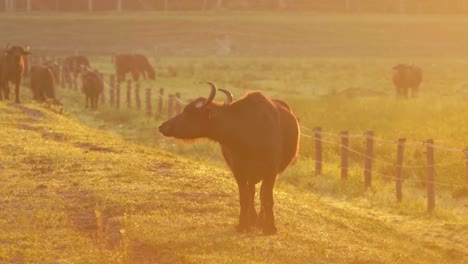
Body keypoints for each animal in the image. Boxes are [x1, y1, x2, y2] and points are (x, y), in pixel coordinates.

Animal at [158, 82, 300, 235]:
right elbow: (244, 197)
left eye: (189, 112)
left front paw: (269, 227)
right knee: (251, 192)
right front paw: (243, 225)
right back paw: (253, 220)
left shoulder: (271, 171)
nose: (163, 126)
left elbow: (267, 198)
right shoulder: (238, 170)